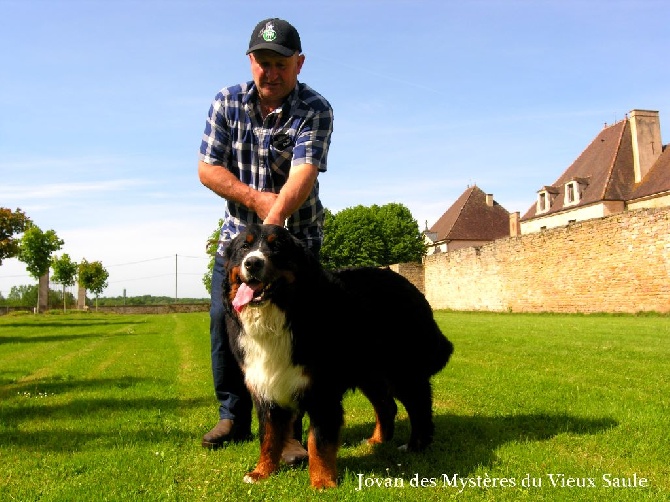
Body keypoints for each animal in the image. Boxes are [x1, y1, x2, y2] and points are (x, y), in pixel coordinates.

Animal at [226, 223, 456, 486]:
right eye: (244, 247)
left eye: (277, 247)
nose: (252, 263)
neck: (284, 314)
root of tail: (412, 288)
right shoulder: (265, 386)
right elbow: (269, 437)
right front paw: (261, 472)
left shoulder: (322, 390)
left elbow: (318, 441)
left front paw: (322, 482)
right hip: (371, 374)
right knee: (387, 406)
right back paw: (377, 440)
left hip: (403, 371)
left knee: (419, 407)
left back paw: (416, 445)